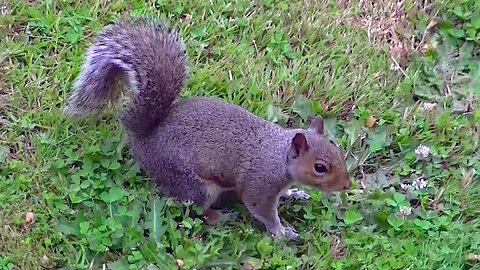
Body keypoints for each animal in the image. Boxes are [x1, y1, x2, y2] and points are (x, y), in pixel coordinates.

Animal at [64, 17, 348, 239]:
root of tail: (144, 141)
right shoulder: (259, 183)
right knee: (198, 211)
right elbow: (261, 209)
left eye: (338, 151)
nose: (346, 186)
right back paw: (221, 217)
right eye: (320, 168)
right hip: (195, 185)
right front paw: (281, 232)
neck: (278, 155)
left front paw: (294, 192)